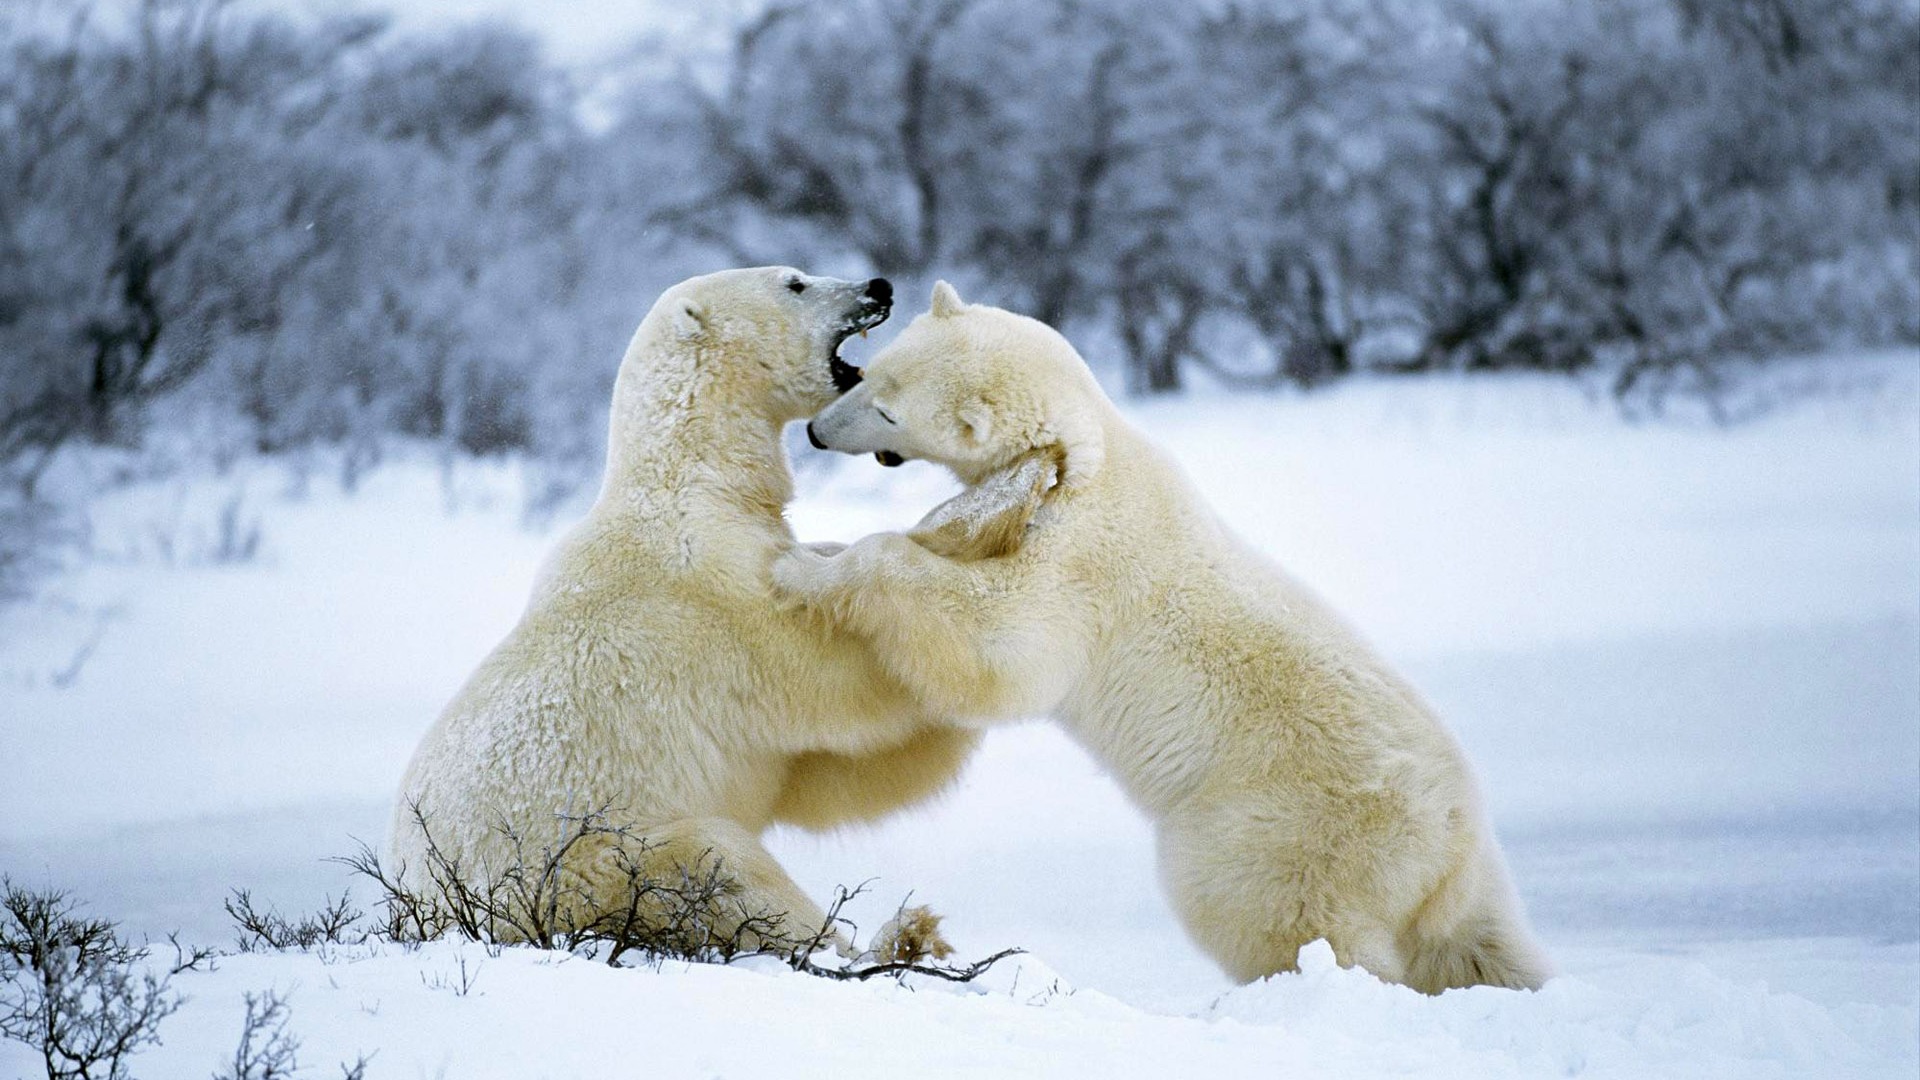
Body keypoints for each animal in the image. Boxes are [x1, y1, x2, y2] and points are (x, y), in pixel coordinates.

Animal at [397, 269, 983, 949]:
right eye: (795, 282)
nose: (878, 285)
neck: (694, 485)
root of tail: (423, 910)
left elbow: (824, 777)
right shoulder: (713, 600)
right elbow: (839, 683)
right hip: (585, 867)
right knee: (718, 865)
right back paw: (878, 937)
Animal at [771, 282, 1551, 991]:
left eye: (886, 409)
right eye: (871, 373)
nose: (816, 432)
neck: (1090, 453)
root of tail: (1454, 842)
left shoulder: (1082, 564)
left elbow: (1002, 645)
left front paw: (805, 570)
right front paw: (818, 548)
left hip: (1282, 827)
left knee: (1274, 913)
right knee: (1475, 944)